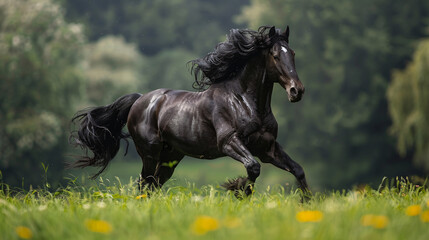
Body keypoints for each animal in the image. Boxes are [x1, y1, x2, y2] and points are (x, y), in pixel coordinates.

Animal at [71, 25, 310, 197]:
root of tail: (140, 100)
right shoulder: (229, 142)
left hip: (170, 157)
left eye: (293, 53)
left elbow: (297, 169)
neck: (244, 101)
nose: (296, 91)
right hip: (149, 152)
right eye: (275, 55)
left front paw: (306, 204)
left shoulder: (267, 148)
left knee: (153, 185)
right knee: (144, 184)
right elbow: (253, 167)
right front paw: (238, 190)